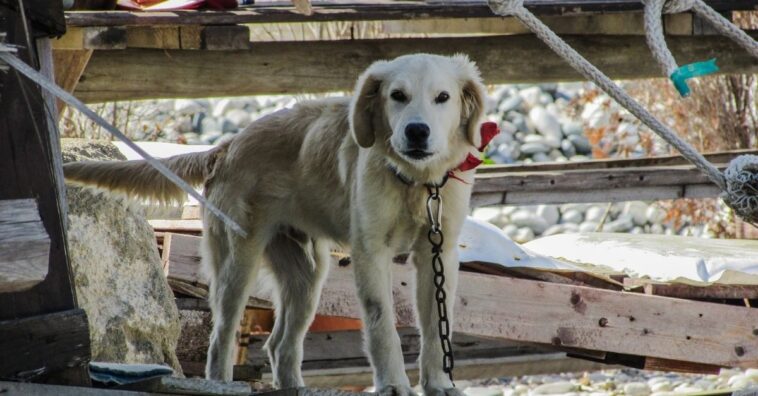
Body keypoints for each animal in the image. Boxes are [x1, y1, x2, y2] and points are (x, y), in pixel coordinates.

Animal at [68, 53, 490, 396]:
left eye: (443, 97)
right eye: (397, 96)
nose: (417, 131)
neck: (416, 182)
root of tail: (228, 146)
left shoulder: (438, 253)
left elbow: (437, 328)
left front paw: (439, 383)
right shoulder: (371, 252)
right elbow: (381, 324)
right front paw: (393, 384)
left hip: (308, 274)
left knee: (279, 344)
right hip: (238, 262)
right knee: (222, 338)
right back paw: (222, 383)